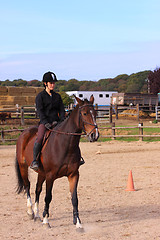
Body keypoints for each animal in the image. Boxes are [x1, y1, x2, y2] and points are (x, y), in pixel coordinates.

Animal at [15, 95, 99, 229]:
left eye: (95, 113)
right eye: (84, 113)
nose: (94, 135)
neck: (65, 144)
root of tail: (24, 132)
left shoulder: (73, 175)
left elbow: (74, 198)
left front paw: (78, 223)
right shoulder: (50, 176)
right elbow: (48, 197)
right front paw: (46, 221)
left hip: (41, 173)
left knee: (37, 189)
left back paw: (37, 214)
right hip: (23, 166)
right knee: (27, 186)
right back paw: (30, 212)